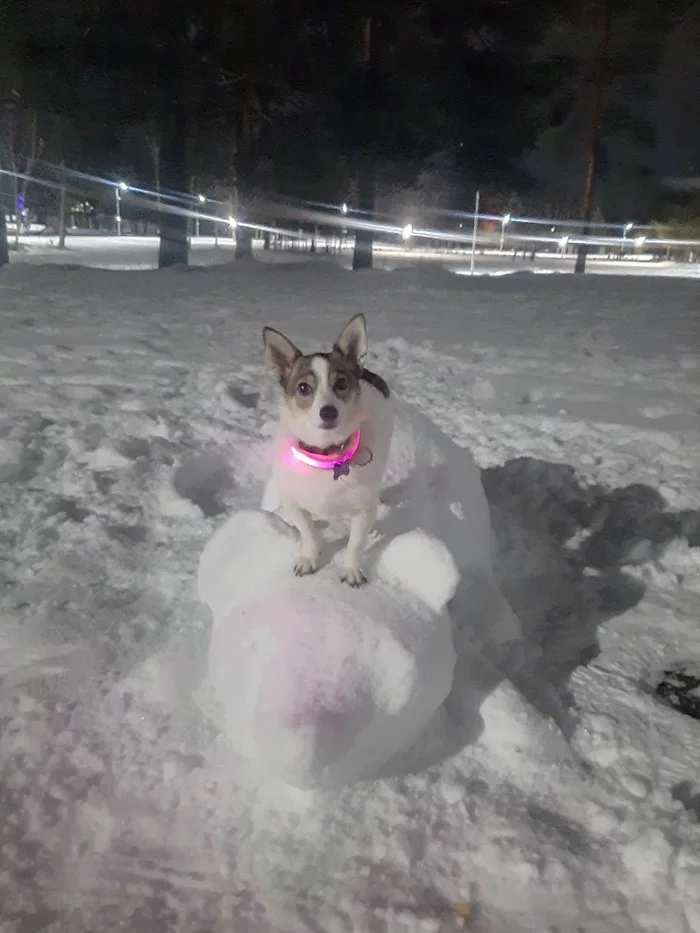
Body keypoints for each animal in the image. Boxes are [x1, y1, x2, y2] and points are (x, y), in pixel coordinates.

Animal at [262, 316, 394, 588]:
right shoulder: (294, 503)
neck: (325, 452)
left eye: (341, 383)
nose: (328, 412)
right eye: (303, 388)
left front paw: (351, 569)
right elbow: (308, 532)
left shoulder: (362, 512)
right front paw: (309, 558)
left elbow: (355, 543)